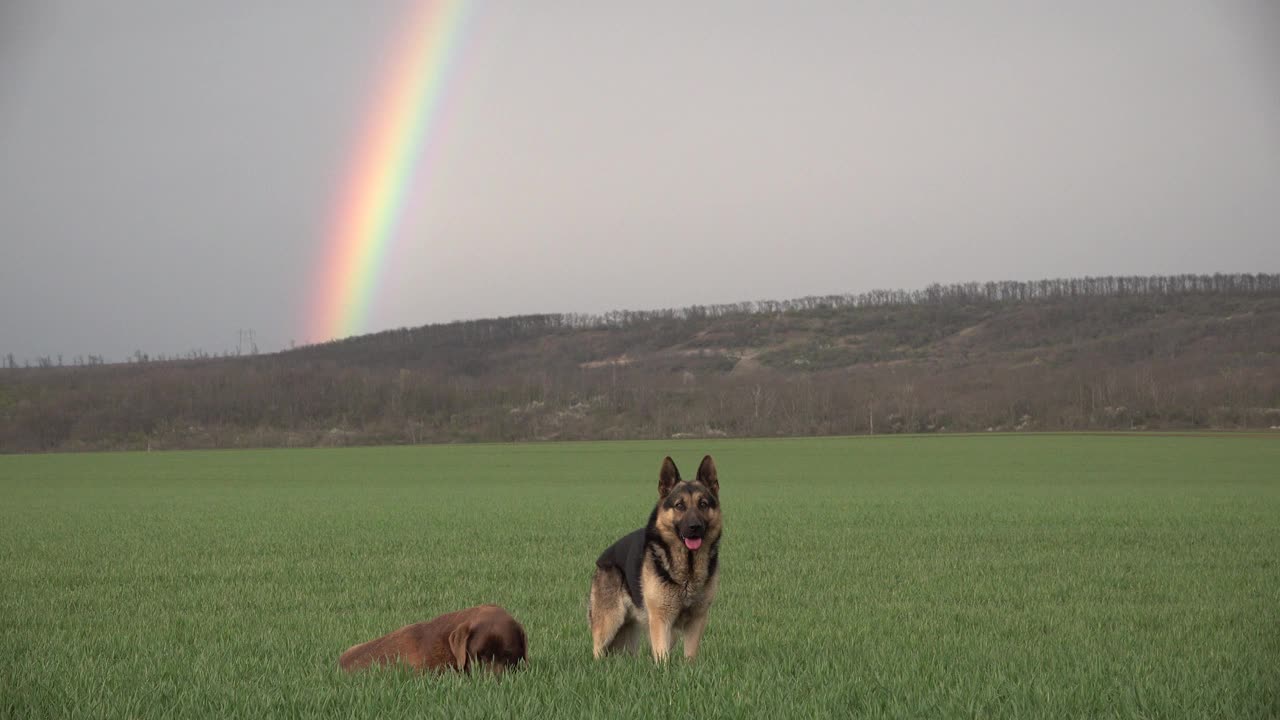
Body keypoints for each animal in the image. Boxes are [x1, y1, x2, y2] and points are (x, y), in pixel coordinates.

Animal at [586, 453, 721, 661]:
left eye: (703, 504)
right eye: (679, 506)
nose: (695, 527)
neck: (687, 571)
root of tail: (602, 558)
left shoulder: (696, 620)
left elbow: (690, 657)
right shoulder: (660, 620)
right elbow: (662, 658)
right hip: (609, 623)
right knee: (597, 651)